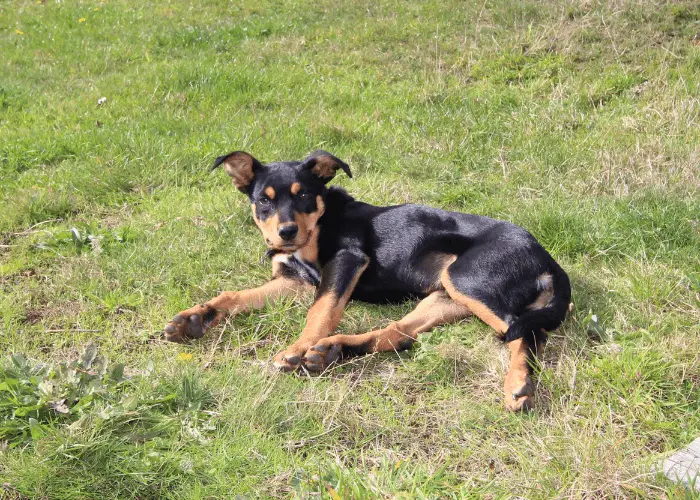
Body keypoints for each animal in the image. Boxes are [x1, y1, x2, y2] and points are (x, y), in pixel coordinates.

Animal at [164, 150, 568, 412]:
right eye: (264, 200)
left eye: (304, 194)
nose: (285, 232)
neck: (317, 226)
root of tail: (547, 257)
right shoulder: (294, 280)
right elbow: (234, 295)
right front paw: (193, 319)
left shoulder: (346, 261)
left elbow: (322, 310)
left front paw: (296, 349)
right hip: (444, 296)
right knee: (397, 335)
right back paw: (332, 351)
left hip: (467, 279)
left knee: (526, 331)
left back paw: (518, 385)